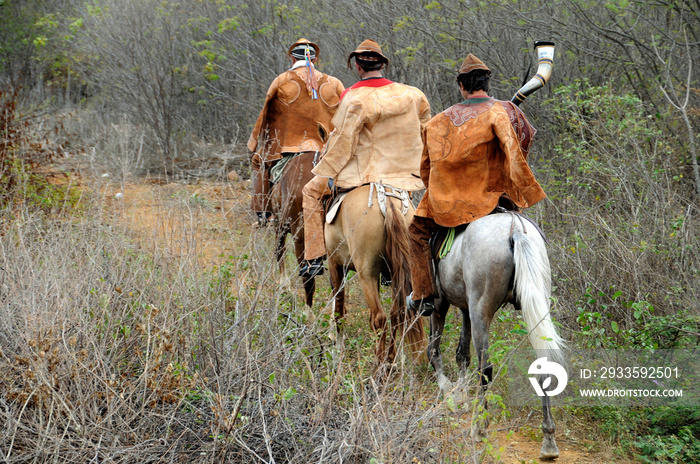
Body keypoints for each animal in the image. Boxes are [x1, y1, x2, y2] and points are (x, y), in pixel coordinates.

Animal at [322, 184, 426, 370]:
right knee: (396, 313)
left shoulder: (335, 264)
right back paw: (389, 360)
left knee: (380, 317)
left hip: (366, 276)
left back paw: (379, 367)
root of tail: (389, 203)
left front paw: (336, 352)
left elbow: (339, 310)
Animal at [430, 213, 568, 460]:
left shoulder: (439, 304)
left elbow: (435, 350)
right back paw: (549, 442)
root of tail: (515, 230)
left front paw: (450, 392)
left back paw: (480, 428)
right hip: (534, 305)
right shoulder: (465, 308)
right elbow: (462, 354)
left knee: (485, 369)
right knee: (544, 367)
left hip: (480, 311)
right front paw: (461, 395)